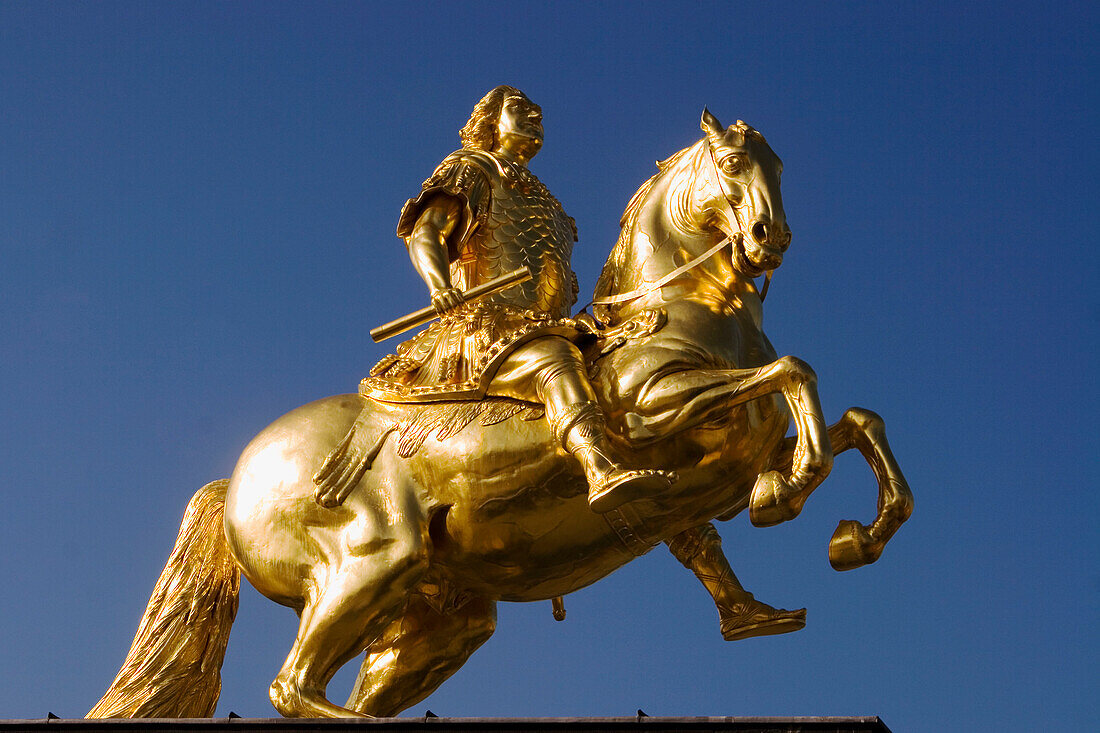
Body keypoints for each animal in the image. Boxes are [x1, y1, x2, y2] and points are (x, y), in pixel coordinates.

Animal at [90, 111, 910, 717]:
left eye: (780, 166)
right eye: (735, 167)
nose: (772, 237)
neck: (678, 309)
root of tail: (232, 480)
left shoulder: (735, 452)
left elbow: (857, 421)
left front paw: (852, 538)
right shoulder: (654, 415)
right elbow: (796, 373)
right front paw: (789, 492)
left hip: (437, 618)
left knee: (343, 688)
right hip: (369, 561)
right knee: (293, 689)